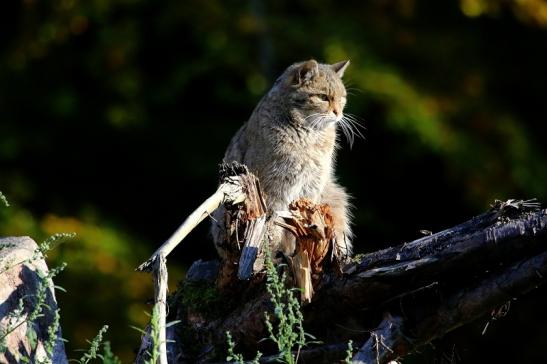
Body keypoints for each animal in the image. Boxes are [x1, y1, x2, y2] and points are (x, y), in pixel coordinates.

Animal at [212, 59, 358, 258]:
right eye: (323, 97)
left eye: (342, 98)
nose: (338, 113)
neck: (309, 134)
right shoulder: (273, 190)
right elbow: (272, 226)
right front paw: (269, 254)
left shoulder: (312, 188)